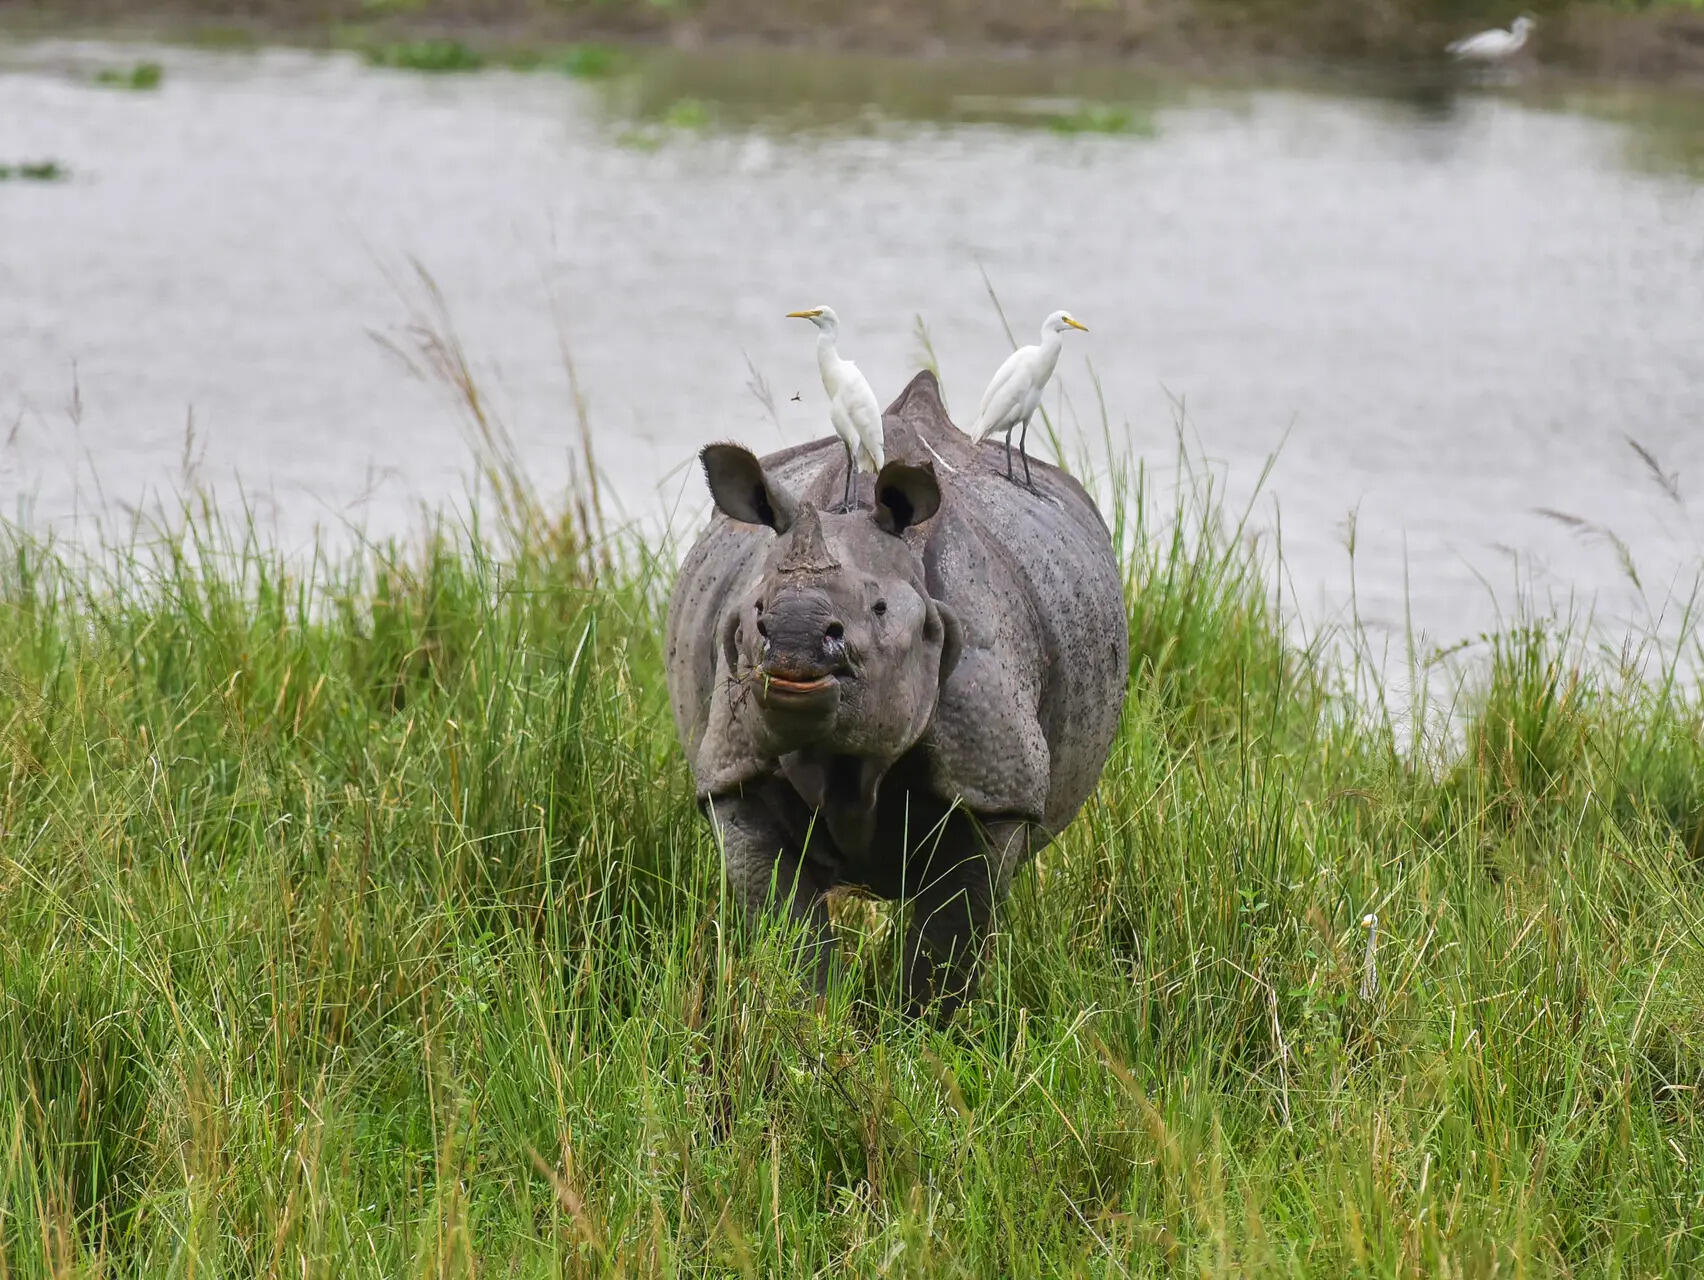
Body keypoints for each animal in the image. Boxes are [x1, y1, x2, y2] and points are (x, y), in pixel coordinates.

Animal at [665, 371, 1128, 1016]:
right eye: (755, 613)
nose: (794, 641)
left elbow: (949, 940)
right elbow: (787, 930)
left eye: (881, 609)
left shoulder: (991, 787)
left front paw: (922, 1028)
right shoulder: (734, 771)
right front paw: (814, 1021)